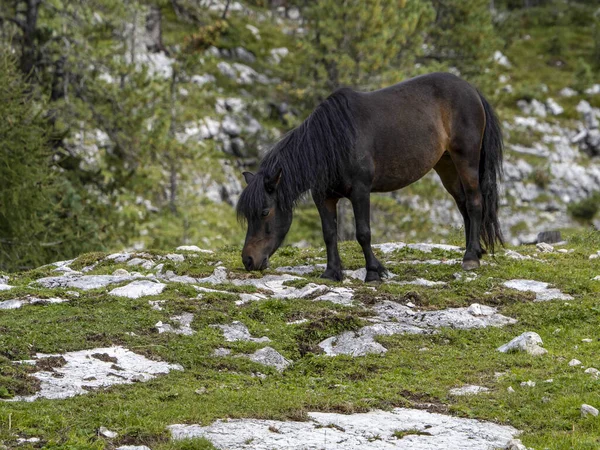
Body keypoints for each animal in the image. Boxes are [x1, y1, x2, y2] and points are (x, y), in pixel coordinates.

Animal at [234, 72, 502, 282]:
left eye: (265, 212)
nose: (248, 260)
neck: (334, 142)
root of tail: (471, 90)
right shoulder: (323, 197)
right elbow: (329, 233)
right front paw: (331, 273)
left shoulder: (360, 191)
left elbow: (363, 232)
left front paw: (373, 272)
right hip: (446, 166)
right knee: (464, 205)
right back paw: (474, 251)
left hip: (466, 159)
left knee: (475, 203)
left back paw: (470, 258)